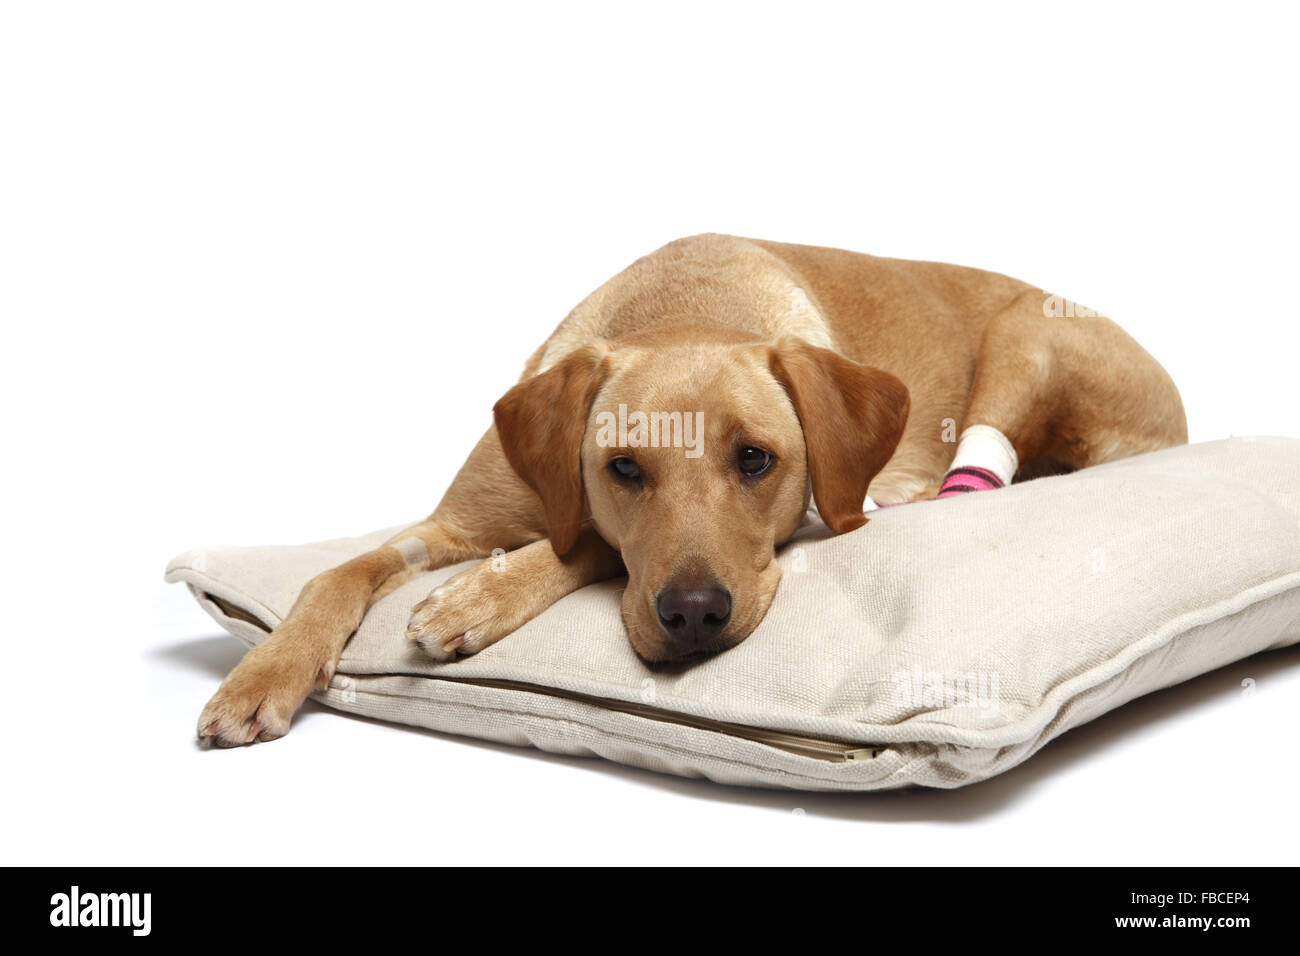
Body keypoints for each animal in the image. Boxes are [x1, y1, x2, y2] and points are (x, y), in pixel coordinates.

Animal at [195, 234, 1190, 749]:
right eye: (623, 469)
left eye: (756, 461)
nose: (695, 616)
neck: (686, 306)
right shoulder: (450, 524)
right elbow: (338, 575)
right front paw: (266, 672)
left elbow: (587, 546)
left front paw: (479, 598)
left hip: (1028, 332)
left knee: (978, 471)